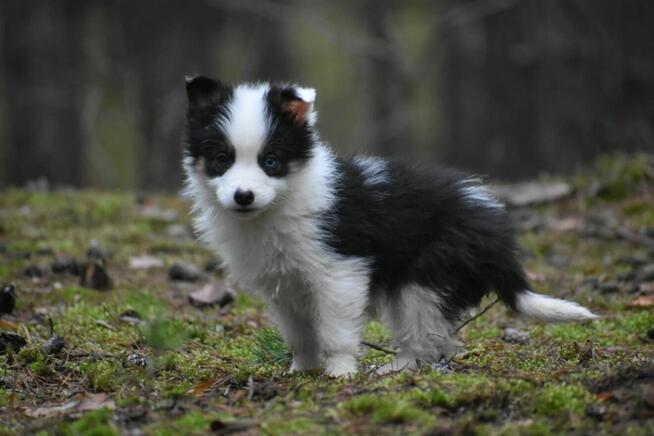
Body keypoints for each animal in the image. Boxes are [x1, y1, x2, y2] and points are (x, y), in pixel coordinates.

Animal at [182, 76, 596, 376]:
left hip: (428, 278)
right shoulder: (283, 286)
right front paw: (301, 370)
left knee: (428, 337)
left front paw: (340, 374)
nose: (243, 196)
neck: (279, 206)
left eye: (271, 161)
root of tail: (494, 232)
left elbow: (335, 330)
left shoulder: (339, 272)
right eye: (221, 160)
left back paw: (395, 369)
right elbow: (301, 334)